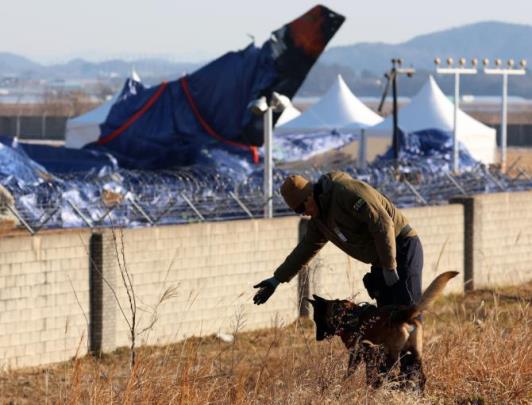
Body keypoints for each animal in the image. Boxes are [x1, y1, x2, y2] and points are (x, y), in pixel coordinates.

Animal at [306, 270, 460, 390]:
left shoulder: (359, 354)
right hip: (413, 353)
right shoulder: (369, 355)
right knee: (419, 377)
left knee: (392, 375)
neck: (345, 316)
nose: (317, 338)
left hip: (390, 355)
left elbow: (353, 372)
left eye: (317, 320)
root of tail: (403, 313)